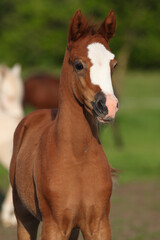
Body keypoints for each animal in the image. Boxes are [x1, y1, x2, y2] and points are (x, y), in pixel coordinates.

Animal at [9, 9, 118, 240]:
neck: (78, 157)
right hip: (24, 217)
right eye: (78, 64)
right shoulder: (54, 225)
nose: (109, 106)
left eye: (114, 64)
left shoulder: (98, 224)